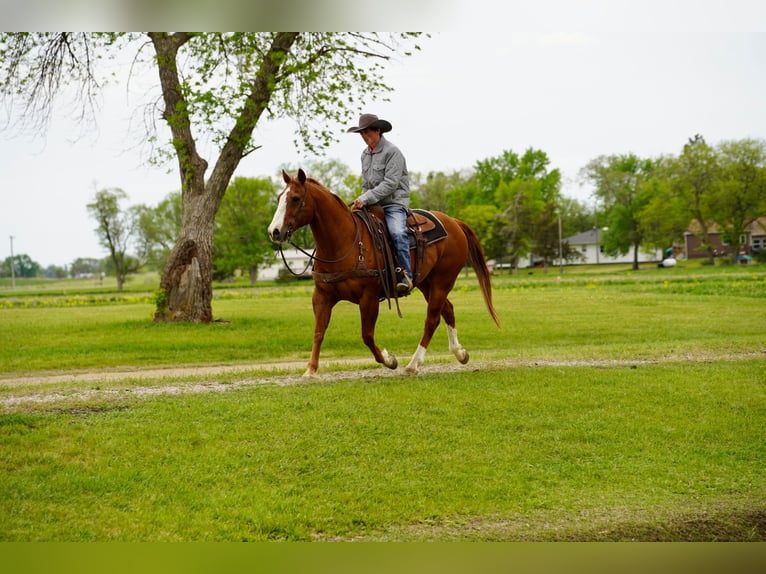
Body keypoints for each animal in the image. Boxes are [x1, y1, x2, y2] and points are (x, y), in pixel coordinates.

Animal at [269, 168, 500, 377]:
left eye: (295, 198)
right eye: (279, 198)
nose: (274, 231)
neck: (346, 242)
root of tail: (454, 222)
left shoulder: (368, 298)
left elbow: (367, 335)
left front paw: (390, 360)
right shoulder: (322, 296)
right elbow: (318, 332)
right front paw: (310, 370)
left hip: (443, 281)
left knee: (432, 320)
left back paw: (413, 365)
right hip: (427, 283)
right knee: (448, 310)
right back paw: (460, 354)